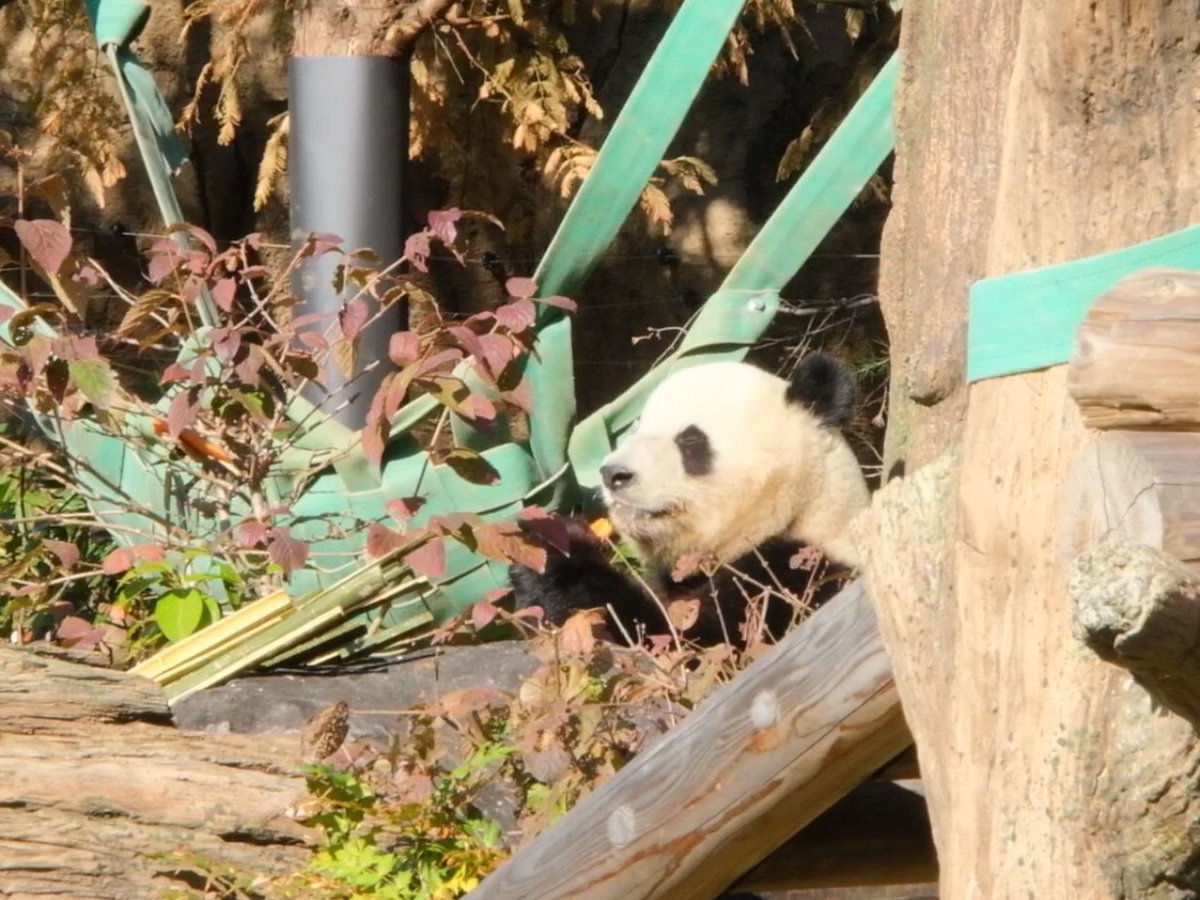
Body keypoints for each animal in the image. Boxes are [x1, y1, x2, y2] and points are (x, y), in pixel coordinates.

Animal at [510, 353, 871, 647]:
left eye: (690, 440)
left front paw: (556, 551)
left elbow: (685, 638)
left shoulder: (794, 579)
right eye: (637, 429)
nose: (614, 474)